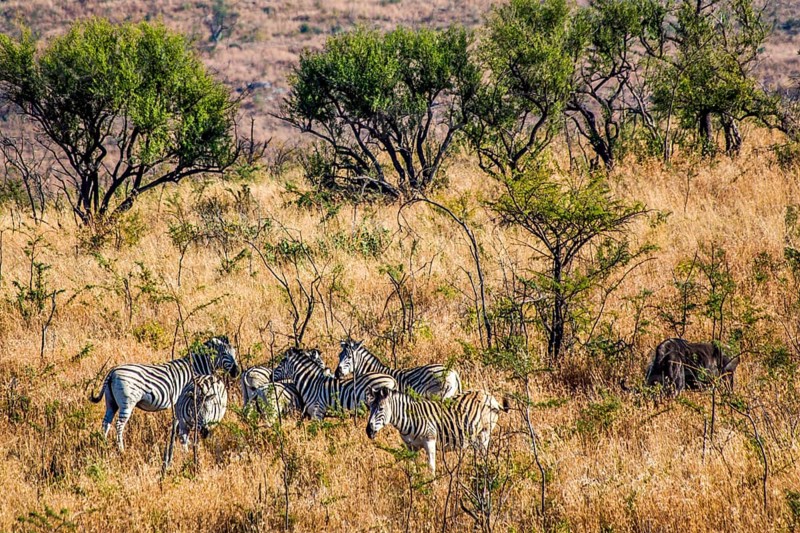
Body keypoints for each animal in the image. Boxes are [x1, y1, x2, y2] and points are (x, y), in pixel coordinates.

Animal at [89, 336, 240, 451]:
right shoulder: (183, 399)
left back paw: (103, 445)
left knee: (106, 423)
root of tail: (113, 371)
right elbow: (180, 423)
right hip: (127, 403)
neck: (195, 367)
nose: (237, 372)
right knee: (119, 425)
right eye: (225, 354)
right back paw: (121, 449)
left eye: (235, 353)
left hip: (111, 402)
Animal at [365, 386, 509, 475]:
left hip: (485, 432)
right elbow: (412, 467)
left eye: (381, 408)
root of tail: (489, 395)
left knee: (484, 455)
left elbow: (431, 467)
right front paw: (413, 488)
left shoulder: (430, 440)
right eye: (370, 407)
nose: (368, 431)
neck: (410, 418)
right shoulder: (410, 447)